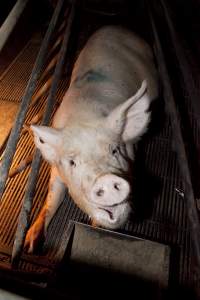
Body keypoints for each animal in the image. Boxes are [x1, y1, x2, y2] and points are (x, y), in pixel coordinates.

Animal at [24, 25, 158, 253]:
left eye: (114, 150)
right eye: (72, 162)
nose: (105, 179)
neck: (83, 117)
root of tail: (119, 27)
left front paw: (95, 228)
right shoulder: (57, 170)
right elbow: (52, 196)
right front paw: (29, 245)